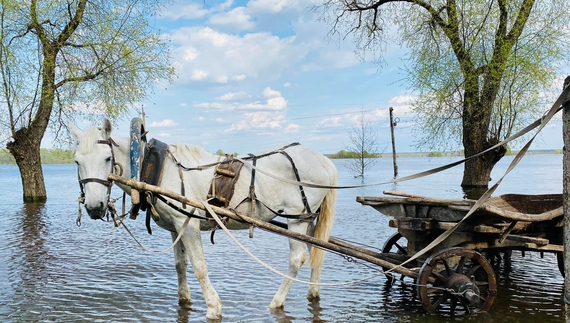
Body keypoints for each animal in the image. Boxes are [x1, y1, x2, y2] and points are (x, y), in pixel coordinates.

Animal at [71, 120, 338, 320]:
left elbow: (199, 267)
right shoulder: (175, 227)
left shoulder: (188, 223)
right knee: (316, 252)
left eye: (107, 158)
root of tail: (325, 160)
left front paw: (213, 307)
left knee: (297, 259)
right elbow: (180, 265)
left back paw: (276, 302)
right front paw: (184, 298)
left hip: (296, 218)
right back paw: (313, 293)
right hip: (308, 219)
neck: (156, 167)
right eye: (76, 161)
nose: (94, 207)